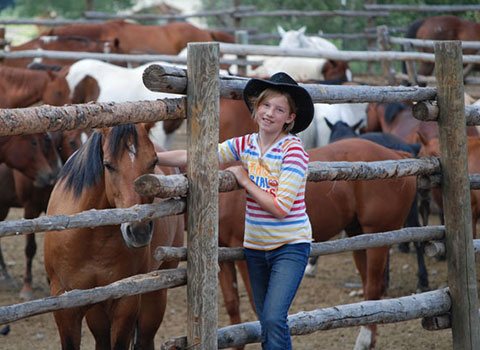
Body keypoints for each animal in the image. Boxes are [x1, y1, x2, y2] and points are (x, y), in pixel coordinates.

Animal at [43, 124, 184, 348]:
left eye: (153, 162)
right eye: (108, 165)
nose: (139, 231)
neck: (94, 240)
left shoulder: (126, 302)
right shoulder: (67, 307)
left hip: (155, 295)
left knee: (144, 339)